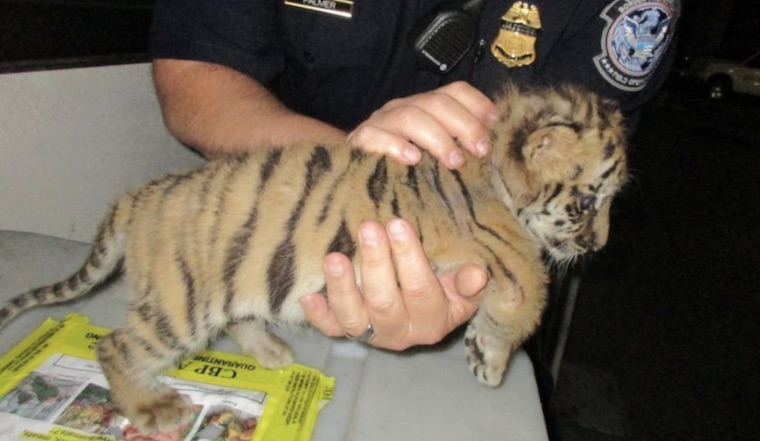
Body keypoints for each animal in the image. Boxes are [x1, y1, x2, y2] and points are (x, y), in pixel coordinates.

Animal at [0, 83, 627, 433]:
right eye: (587, 203)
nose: (600, 246)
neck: (493, 171)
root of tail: (142, 194)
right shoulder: (511, 258)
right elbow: (529, 301)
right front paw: (492, 363)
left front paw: (478, 352)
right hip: (181, 302)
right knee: (116, 346)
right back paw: (154, 409)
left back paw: (272, 351)